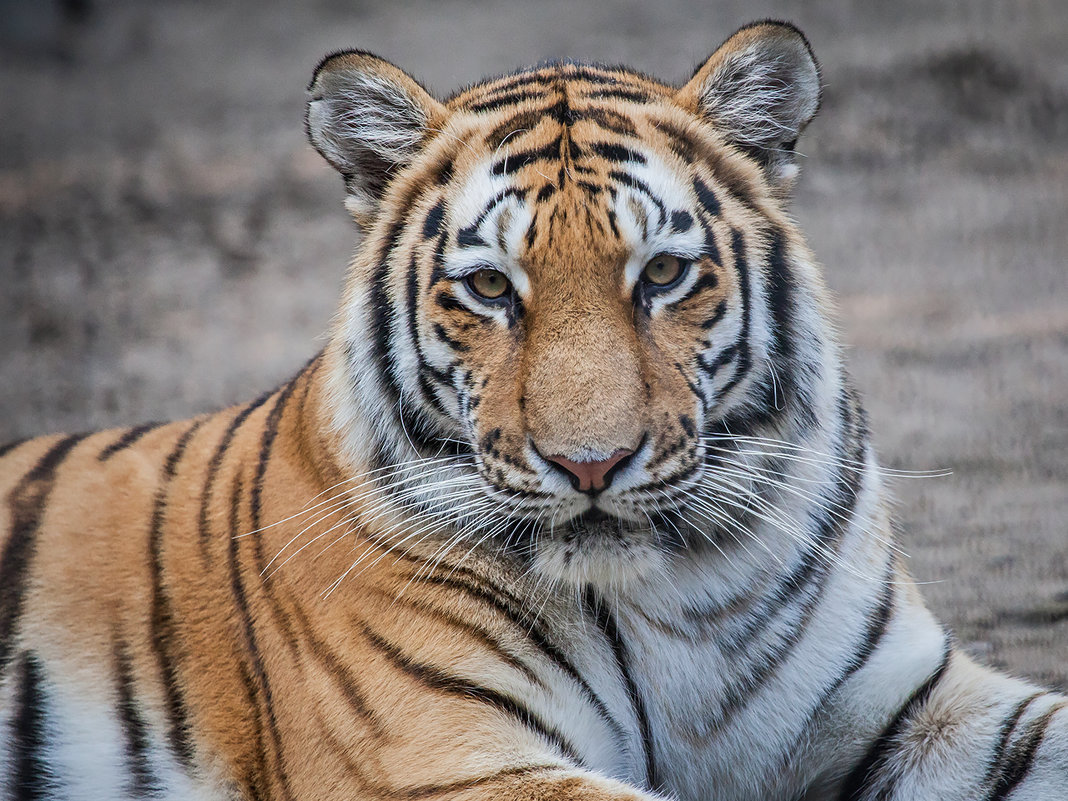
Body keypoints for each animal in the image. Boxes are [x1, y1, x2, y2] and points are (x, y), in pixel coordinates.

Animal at [2, 17, 1068, 801]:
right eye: (489, 289)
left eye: (663, 274)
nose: (590, 464)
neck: (659, 600)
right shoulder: (440, 761)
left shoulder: (914, 705)